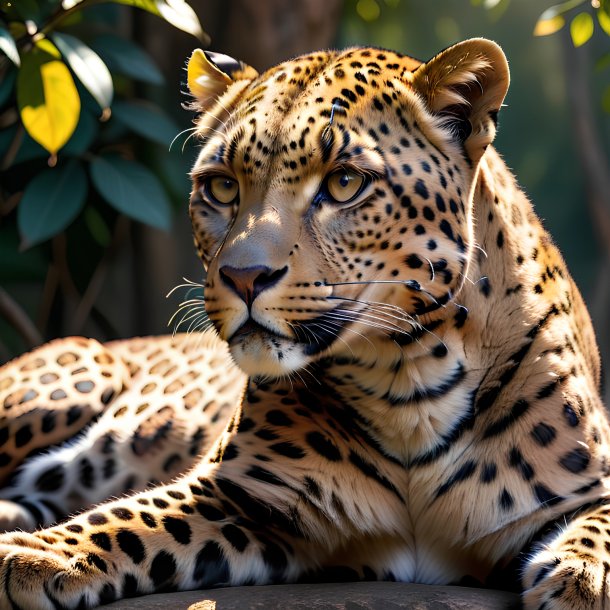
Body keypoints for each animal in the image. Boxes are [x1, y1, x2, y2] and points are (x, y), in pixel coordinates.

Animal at [0, 38, 604, 608]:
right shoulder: (238, 494)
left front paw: (582, 578)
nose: (243, 277)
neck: (408, 378)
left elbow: (598, 524)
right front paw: (36, 552)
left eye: (344, 183)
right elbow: (129, 517)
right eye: (222, 187)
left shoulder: (586, 488)